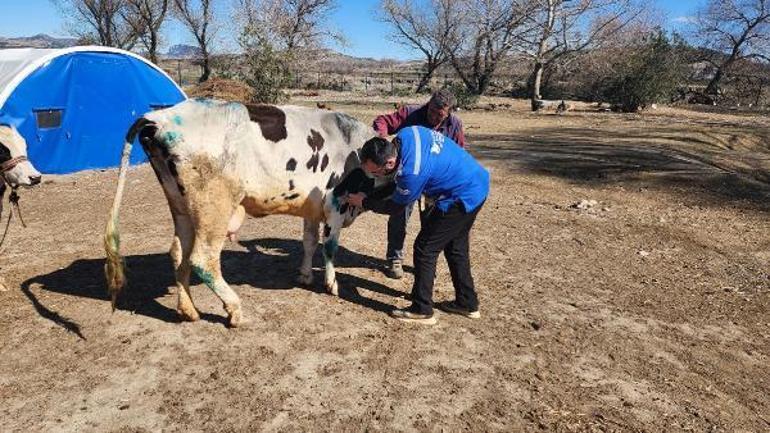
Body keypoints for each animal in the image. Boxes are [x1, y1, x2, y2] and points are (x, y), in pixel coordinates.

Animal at [104, 98, 388, 328]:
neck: (352, 143)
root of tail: (160, 117)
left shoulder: (311, 207)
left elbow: (309, 242)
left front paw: (305, 275)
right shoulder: (336, 204)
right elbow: (330, 247)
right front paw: (331, 284)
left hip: (181, 206)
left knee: (178, 253)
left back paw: (188, 310)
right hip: (214, 209)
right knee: (202, 259)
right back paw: (234, 310)